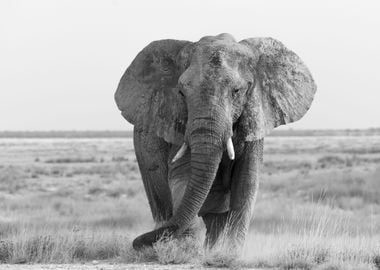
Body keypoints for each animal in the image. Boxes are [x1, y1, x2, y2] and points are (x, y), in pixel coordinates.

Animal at [114, 32, 316, 252]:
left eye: (237, 91)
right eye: (181, 93)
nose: (135, 242)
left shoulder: (255, 118)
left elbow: (246, 184)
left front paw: (231, 253)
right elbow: (183, 178)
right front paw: (186, 248)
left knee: (216, 220)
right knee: (163, 204)